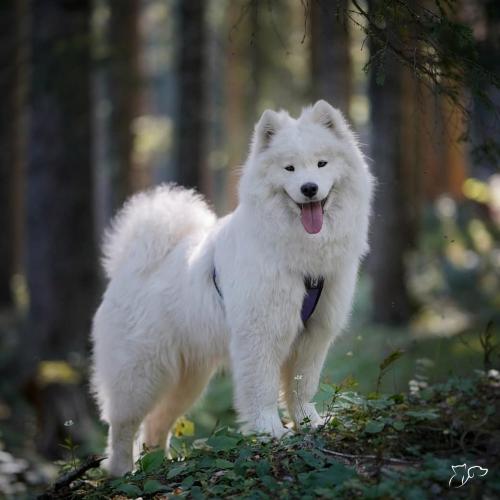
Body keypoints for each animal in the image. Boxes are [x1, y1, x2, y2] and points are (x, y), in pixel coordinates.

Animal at [91, 99, 372, 474]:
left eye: (321, 163)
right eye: (289, 168)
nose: (310, 188)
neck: (300, 256)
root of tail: (126, 267)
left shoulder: (314, 336)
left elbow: (302, 387)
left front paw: (308, 424)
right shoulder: (260, 334)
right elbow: (262, 389)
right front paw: (270, 431)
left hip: (188, 378)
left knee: (156, 424)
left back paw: (160, 463)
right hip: (141, 374)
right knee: (122, 427)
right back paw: (123, 471)